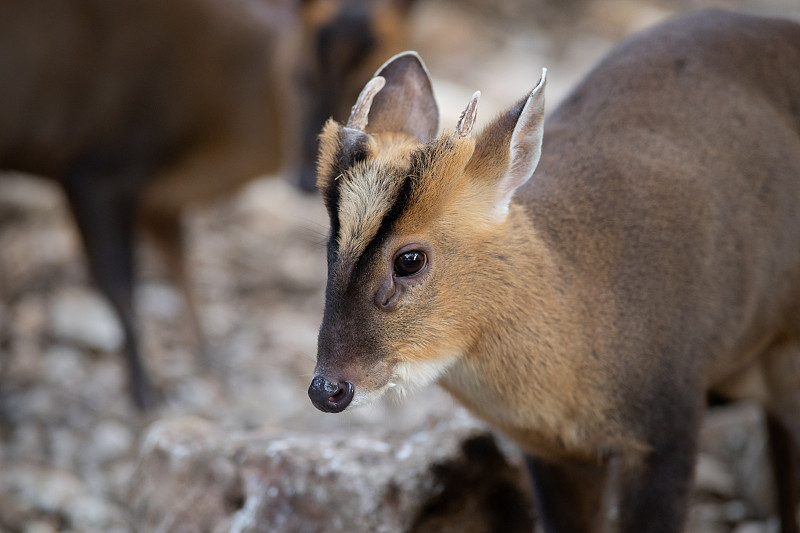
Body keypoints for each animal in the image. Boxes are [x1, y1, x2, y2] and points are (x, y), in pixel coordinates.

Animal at [0, 0, 416, 410]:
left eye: (364, 79)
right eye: (301, 76)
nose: (303, 177)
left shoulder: (157, 201)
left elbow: (181, 269)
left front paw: (207, 360)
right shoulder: (92, 169)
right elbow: (120, 288)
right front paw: (145, 397)